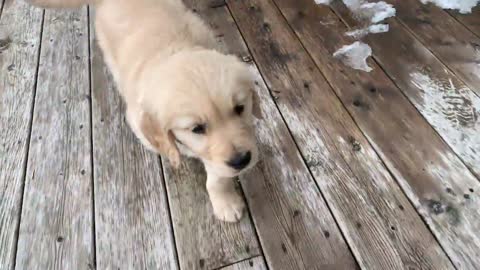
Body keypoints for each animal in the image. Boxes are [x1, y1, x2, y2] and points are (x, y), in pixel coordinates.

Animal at [27, 0, 260, 223]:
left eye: (240, 108)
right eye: (197, 129)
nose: (242, 160)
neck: (175, 49)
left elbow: (217, 174)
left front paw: (225, 201)